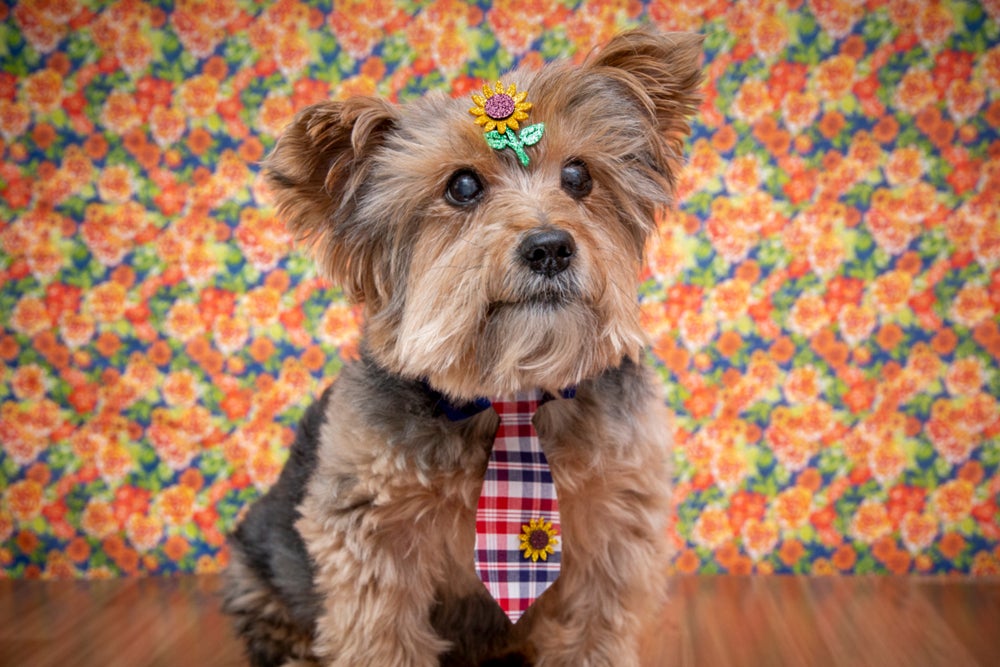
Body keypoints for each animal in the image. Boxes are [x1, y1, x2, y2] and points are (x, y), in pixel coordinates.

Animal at [225, 27, 704, 667]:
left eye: (579, 176)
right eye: (463, 186)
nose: (550, 247)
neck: (512, 393)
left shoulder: (616, 524)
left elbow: (594, 628)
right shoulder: (372, 540)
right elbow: (384, 639)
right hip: (258, 562)